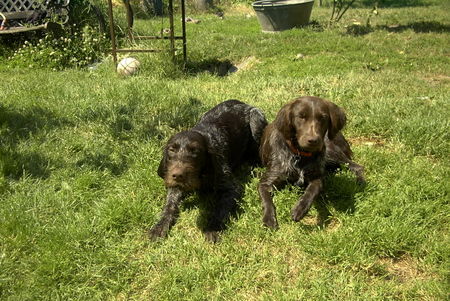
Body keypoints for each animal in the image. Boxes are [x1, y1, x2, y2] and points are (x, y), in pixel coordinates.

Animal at [149, 99, 268, 240]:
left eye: (195, 151)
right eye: (171, 150)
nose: (178, 175)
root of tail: (244, 103)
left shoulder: (231, 188)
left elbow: (220, 209)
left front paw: (213, 228)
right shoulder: (174, 185)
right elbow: (169, 205)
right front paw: (160, 225)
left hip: (256, 119)